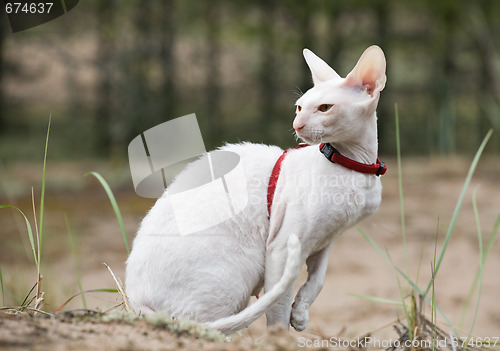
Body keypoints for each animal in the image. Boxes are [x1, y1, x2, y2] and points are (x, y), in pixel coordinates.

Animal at [125, 45, 386, 334]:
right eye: (299, 107)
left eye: (325, 108)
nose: (296, 125)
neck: (354, 165)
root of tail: (136, 301)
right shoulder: (283, 246)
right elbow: (278, 308)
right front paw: (280, 337)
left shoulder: (325, 240)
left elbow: (317, 281)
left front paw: (300, 314)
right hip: (237, 271)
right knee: (202, 325)